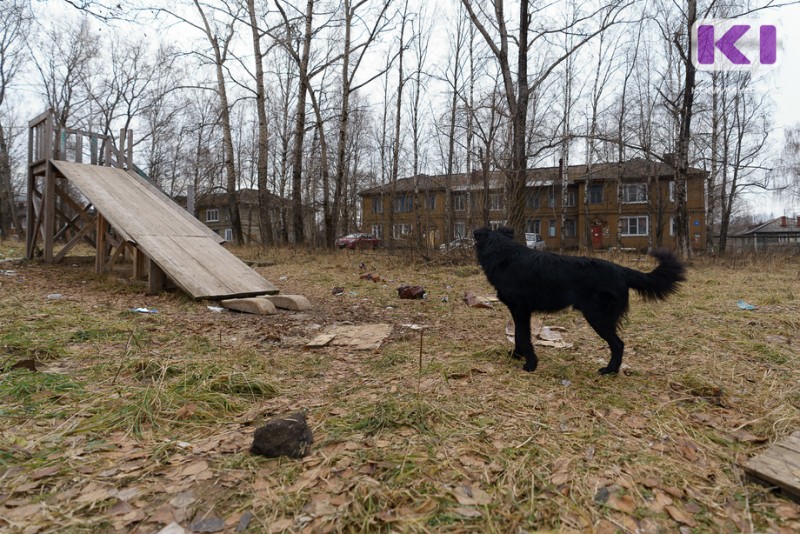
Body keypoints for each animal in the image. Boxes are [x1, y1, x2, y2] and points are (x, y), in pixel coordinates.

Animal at [476, 228, 688, 374]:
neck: (504, 256)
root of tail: (622, 270)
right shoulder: (520, 312)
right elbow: (519, 335)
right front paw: (516, 355)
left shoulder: (520, 309)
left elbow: (522, 336)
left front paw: (530, 364)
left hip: (597, 317)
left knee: (618, 344)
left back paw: (610, 370)